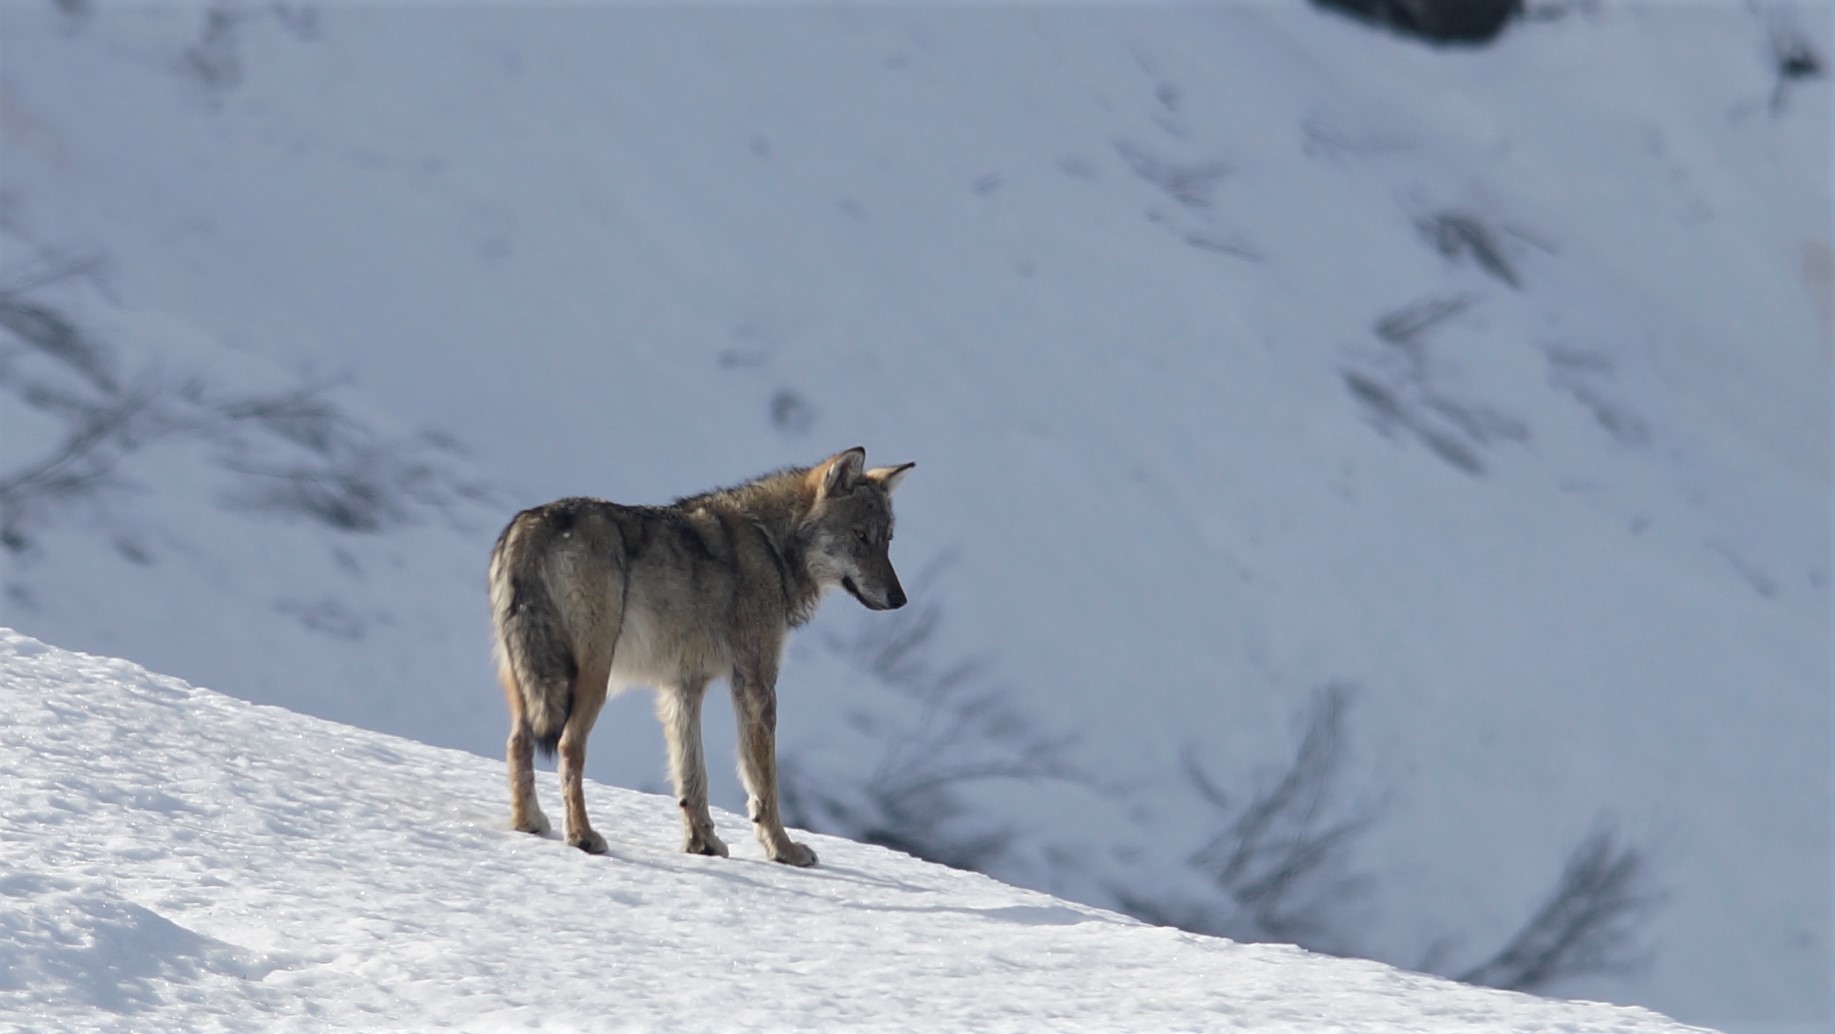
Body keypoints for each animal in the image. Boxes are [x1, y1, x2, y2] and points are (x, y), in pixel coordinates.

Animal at [488, 447, 914, 866]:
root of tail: (531, 524)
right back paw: (582, 836)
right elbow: (764, 781)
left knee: (517, 742)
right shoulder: (755, 680)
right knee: (567, 746)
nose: (900, 599)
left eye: (888, 540)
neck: (772, 547)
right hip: (593, 678)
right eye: (860, 536)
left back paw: (528, 823)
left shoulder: (683, 687)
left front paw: (702, 845)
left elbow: (692, 776)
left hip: (529, 680)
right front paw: (783, 849)